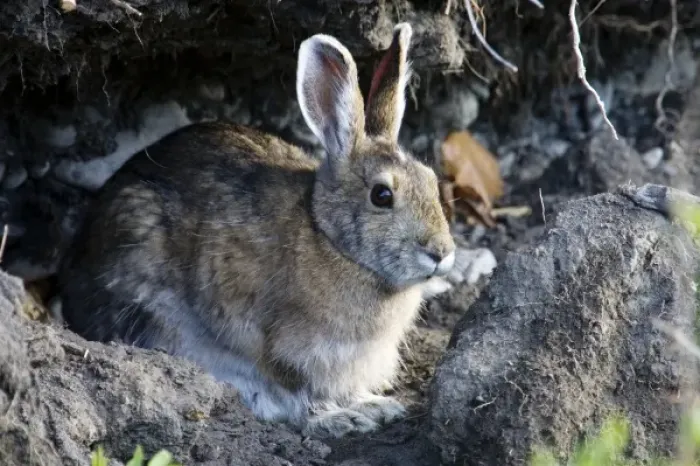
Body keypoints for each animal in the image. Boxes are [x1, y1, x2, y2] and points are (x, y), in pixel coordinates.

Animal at [57, 22, 459, 439]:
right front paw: (343, 418)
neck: (330, 240)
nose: (441, 252)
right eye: (382, 195)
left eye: (431, 181)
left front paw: (373, 405)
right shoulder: (283, 347)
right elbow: (301, 393)